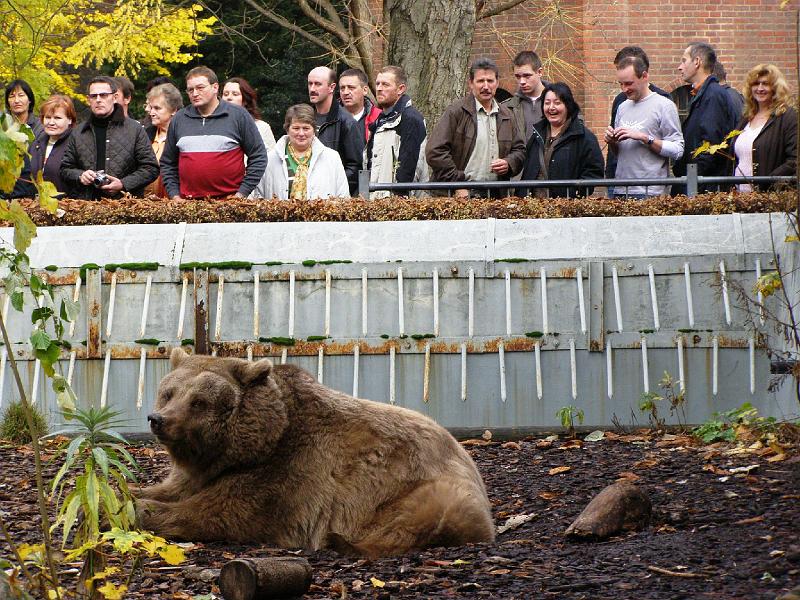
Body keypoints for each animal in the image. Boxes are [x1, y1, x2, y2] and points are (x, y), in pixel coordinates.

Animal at [138, 346, 494, 556]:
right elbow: (171, 489)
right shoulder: (198, 472)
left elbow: (216, 510)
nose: (158, 419)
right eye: (169, 393)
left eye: (199, 402)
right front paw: (135, 493)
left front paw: (144, 510)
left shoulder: (286, 476)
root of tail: (465, 455)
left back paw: (342, 541)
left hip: (424, 489)